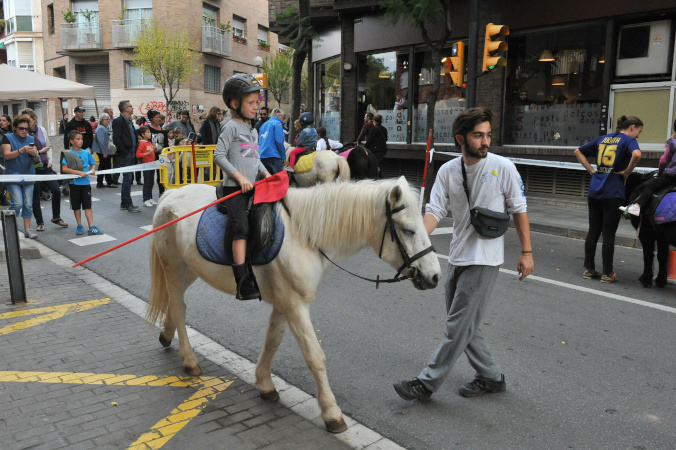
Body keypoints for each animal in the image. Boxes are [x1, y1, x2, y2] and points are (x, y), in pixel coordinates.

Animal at [146, 178, 440, 434]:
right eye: (408, 230)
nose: (435, 276)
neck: (305, 234)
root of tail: (169, 194)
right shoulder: (295, 305)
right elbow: (315, 357)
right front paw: (332, 413)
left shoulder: (285, 302)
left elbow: (273, 341)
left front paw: (265, 384)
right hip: (174, 267)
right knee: (179, 307)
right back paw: (189, 360)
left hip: (190, 269)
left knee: (175, 304)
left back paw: (167, 334)